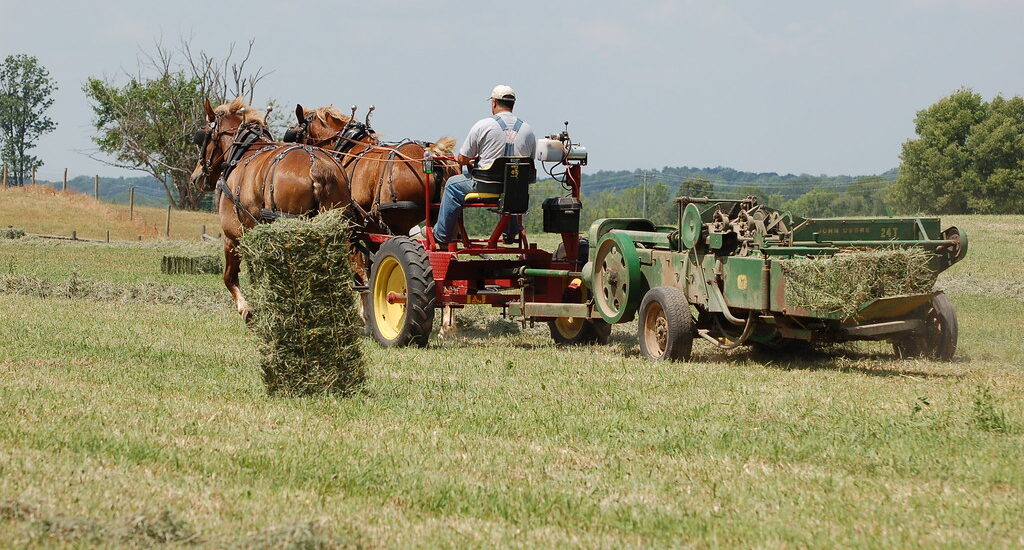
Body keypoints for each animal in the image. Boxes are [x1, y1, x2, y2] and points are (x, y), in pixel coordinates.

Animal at [188, 94, 352, 317]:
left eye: (202, 135)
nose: (195, 177)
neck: (244, 151)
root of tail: (317, 165)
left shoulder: (233, 236)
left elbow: (231, 278)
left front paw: (246, 309)